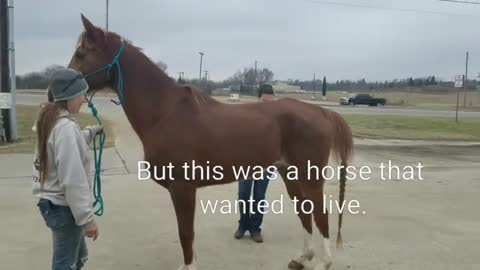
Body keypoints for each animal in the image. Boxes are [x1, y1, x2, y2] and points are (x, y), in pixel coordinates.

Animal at [68, 14, 352, 270]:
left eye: (81, 54)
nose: (59, 89)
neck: (165, 112)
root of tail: (321, 112)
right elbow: (188, 234)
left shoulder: (182, 188)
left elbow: (185, 233)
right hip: (289, 174)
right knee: (304, 211)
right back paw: (302, 258)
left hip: (309, 176)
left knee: (320, 214)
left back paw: (323, 262)